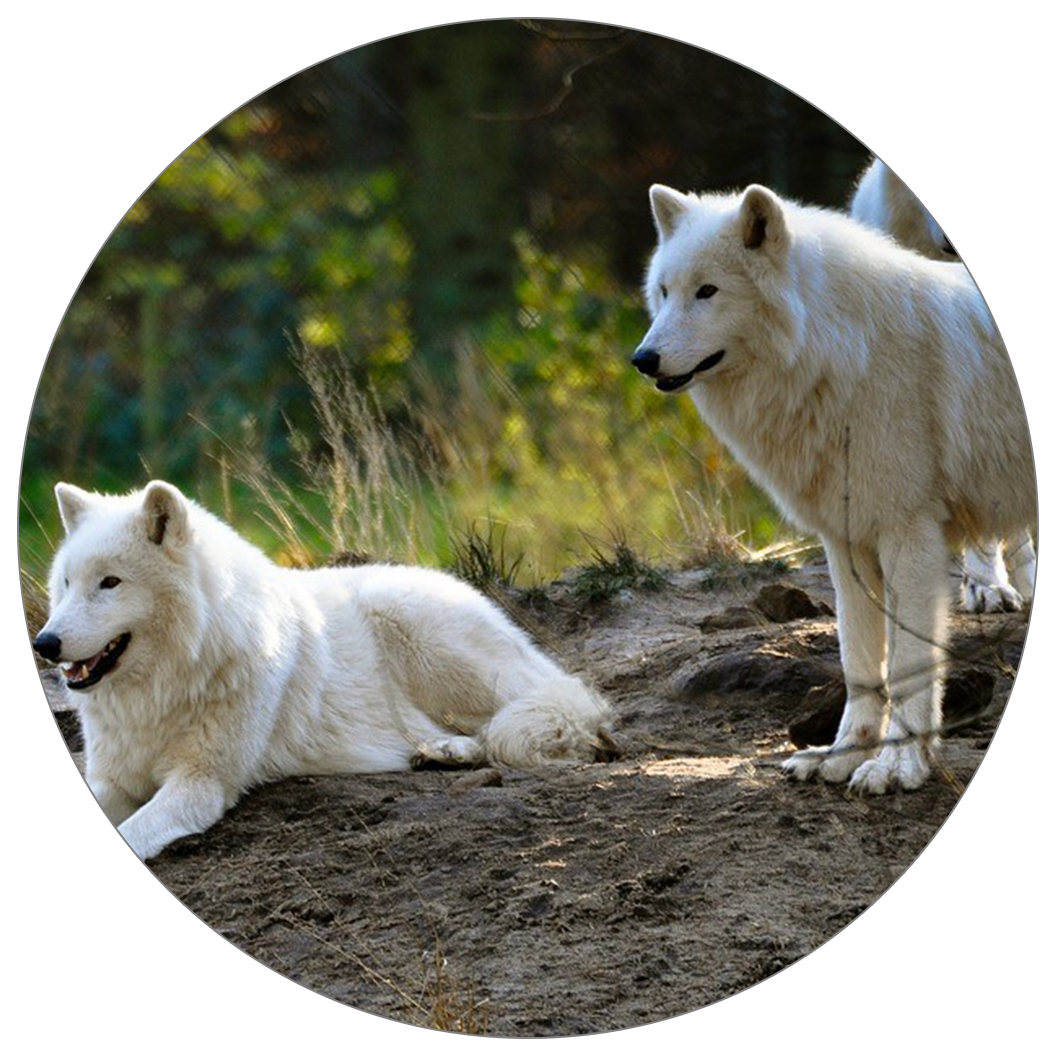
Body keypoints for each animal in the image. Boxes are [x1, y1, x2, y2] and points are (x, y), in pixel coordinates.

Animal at [30, 480, 614, 919]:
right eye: (67, 582)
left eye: (110, 583)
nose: (44, 643)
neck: (163, 687)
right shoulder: (111, 781)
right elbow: (63, 835)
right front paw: (41, 879)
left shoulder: (200, 784)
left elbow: (122, 837)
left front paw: (72, 891)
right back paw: (442, 753)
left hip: (428, 641)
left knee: (547, 713)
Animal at [632, 183, 1032, 794]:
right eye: (664, 291)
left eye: (707, 291)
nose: (642, 359)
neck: (843, 353)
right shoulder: (847, 545)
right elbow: (860, 665)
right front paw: (841, 755)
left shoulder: (910, 537)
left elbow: (909, 668)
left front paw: (898, 767)